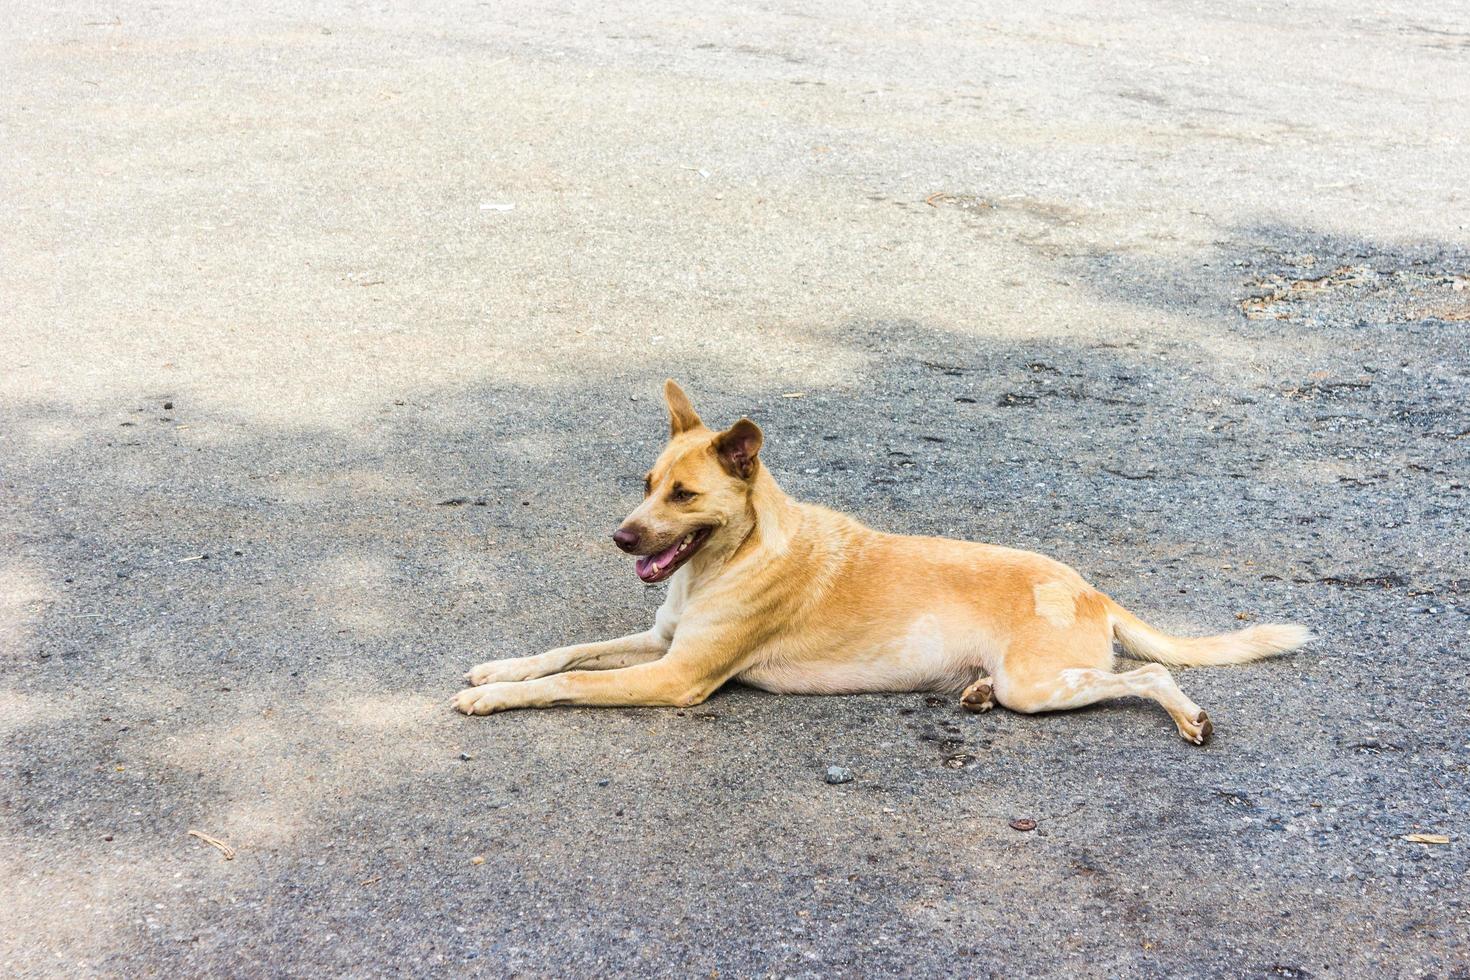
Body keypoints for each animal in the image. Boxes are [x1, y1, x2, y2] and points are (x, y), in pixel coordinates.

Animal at [449, 379, 1311, 740]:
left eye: (686, 495)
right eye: (646, 484)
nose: (621, 538)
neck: (733, 556)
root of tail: (1089, 587)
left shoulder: (676, 676)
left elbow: (568, 681)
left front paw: (492, 700)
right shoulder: (662, 642)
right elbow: (564, 651)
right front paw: (498, 668)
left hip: (1039, 684)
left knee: (1151, 674)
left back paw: (1188, 715)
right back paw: (973, 696)